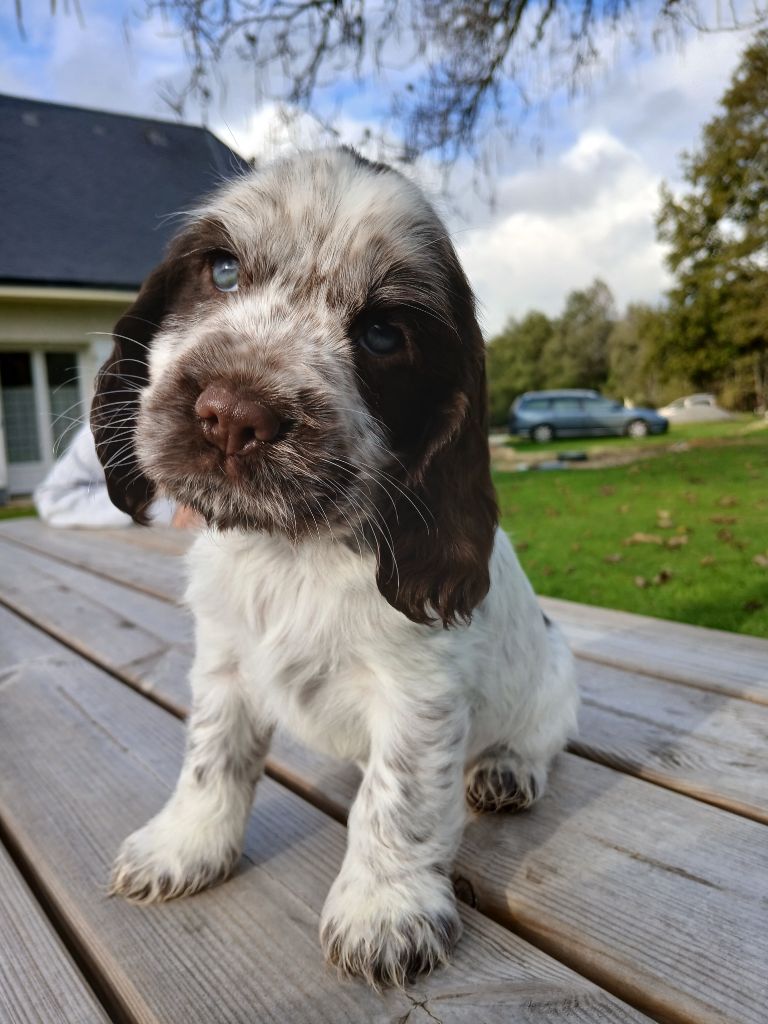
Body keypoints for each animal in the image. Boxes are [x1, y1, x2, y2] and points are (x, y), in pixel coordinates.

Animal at [91, 148, 577, 987]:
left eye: (382, 335)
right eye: (222, 270)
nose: (233, 415)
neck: (291, 551)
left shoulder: (419, 690)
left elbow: (399, 797)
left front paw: (384, 911)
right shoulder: (223, 661)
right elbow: (212, 758)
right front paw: (184, 845)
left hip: (556, 674)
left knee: (541, 737)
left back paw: (507, 769)